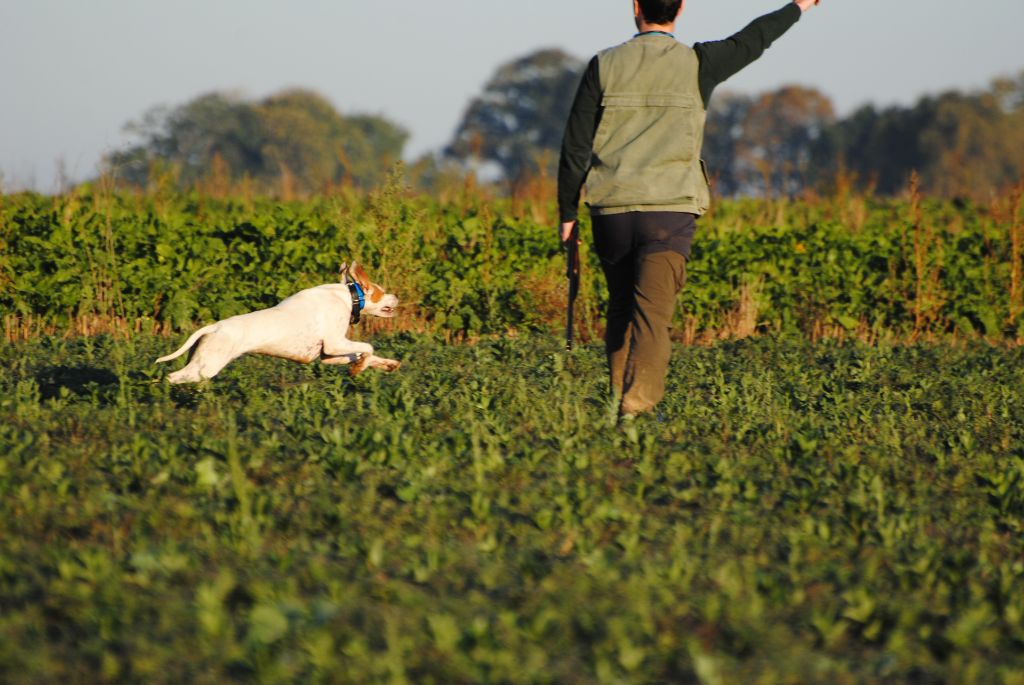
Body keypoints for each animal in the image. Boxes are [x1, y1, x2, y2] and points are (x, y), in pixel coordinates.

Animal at [155, 262, 399, 382]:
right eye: (382, 291)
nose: (397, 296)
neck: (349, 297)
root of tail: (215, 326)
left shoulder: (328, 355)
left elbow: (365, 355)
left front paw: (386, 364)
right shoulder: (334, 344)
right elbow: (368, 347)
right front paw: (359, 368)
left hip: (200, 361)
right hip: (206, 367)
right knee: (171, 377)